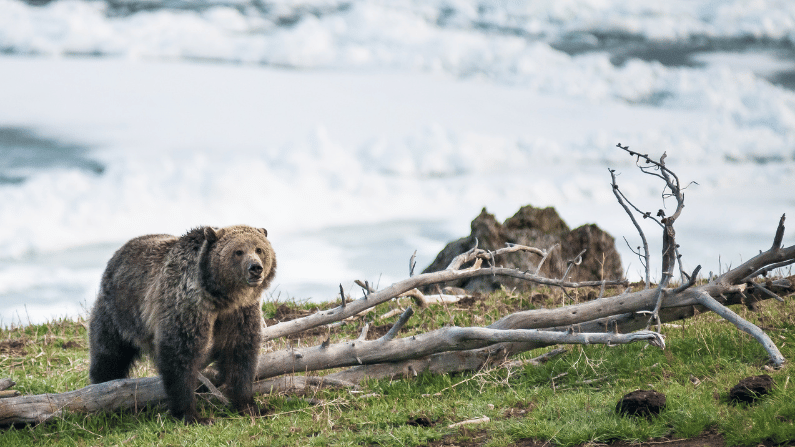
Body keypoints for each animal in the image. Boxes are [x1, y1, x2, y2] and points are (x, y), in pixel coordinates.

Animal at [88, 225, 276, 424]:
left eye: (259, 249)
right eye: (238, 251)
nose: (255, 268)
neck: (220, 297)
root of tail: (118, 253)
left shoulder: (240, 312)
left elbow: (239, 352)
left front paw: (249, 406)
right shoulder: (187, 304)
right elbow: (180, 353)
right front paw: (192, 415)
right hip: (120, 311)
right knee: (109, 353)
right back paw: (103, 387)